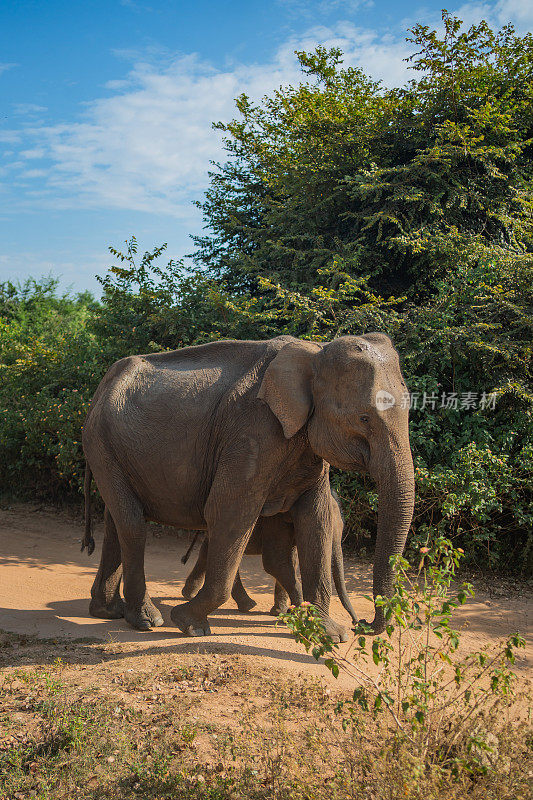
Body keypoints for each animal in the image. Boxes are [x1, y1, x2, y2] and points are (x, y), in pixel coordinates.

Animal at [181, 488, 360, 624]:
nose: (356, 623)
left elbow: (290, 562)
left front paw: (280, 612)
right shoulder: (276, 522)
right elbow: (275, 562)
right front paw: (295, 614)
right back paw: (247, 605)